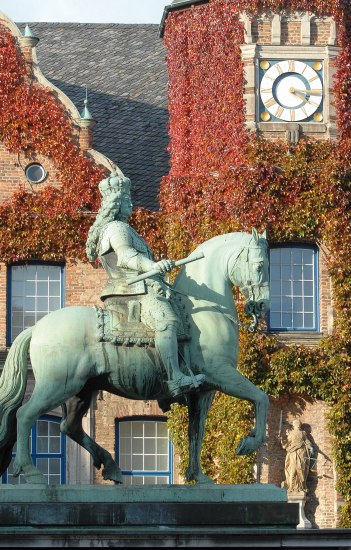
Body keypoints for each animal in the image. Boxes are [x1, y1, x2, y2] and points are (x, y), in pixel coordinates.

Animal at [0, 229, 270, 488]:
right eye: (259, 266)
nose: (261, 306)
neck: (204, 312)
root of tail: (36, 327)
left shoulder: (205, 391)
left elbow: (197, 431)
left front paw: (199, 476)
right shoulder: (222, 374)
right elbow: (260, 398)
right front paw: (249, 443)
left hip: (81, 391)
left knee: (70, 426)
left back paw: (110, 466)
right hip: (59, 385)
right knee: (24, 415)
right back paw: (32, 472)